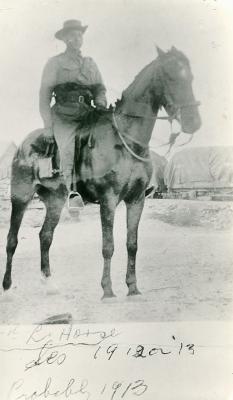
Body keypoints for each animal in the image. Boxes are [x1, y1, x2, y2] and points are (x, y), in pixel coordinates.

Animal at [2, 46, 200, 296]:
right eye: (172, 77)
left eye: (191, 78)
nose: (194, 123)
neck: (125, 140)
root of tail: (23, 145)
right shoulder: (108, 199)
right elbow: (108, 246)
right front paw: (107, 290)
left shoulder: (136, 200)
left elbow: (132, 244)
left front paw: (132, 287)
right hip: (21, 197)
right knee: (12, 239)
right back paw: (7, 286)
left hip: (55, 200)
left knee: (45, 236)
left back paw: (49, 283)